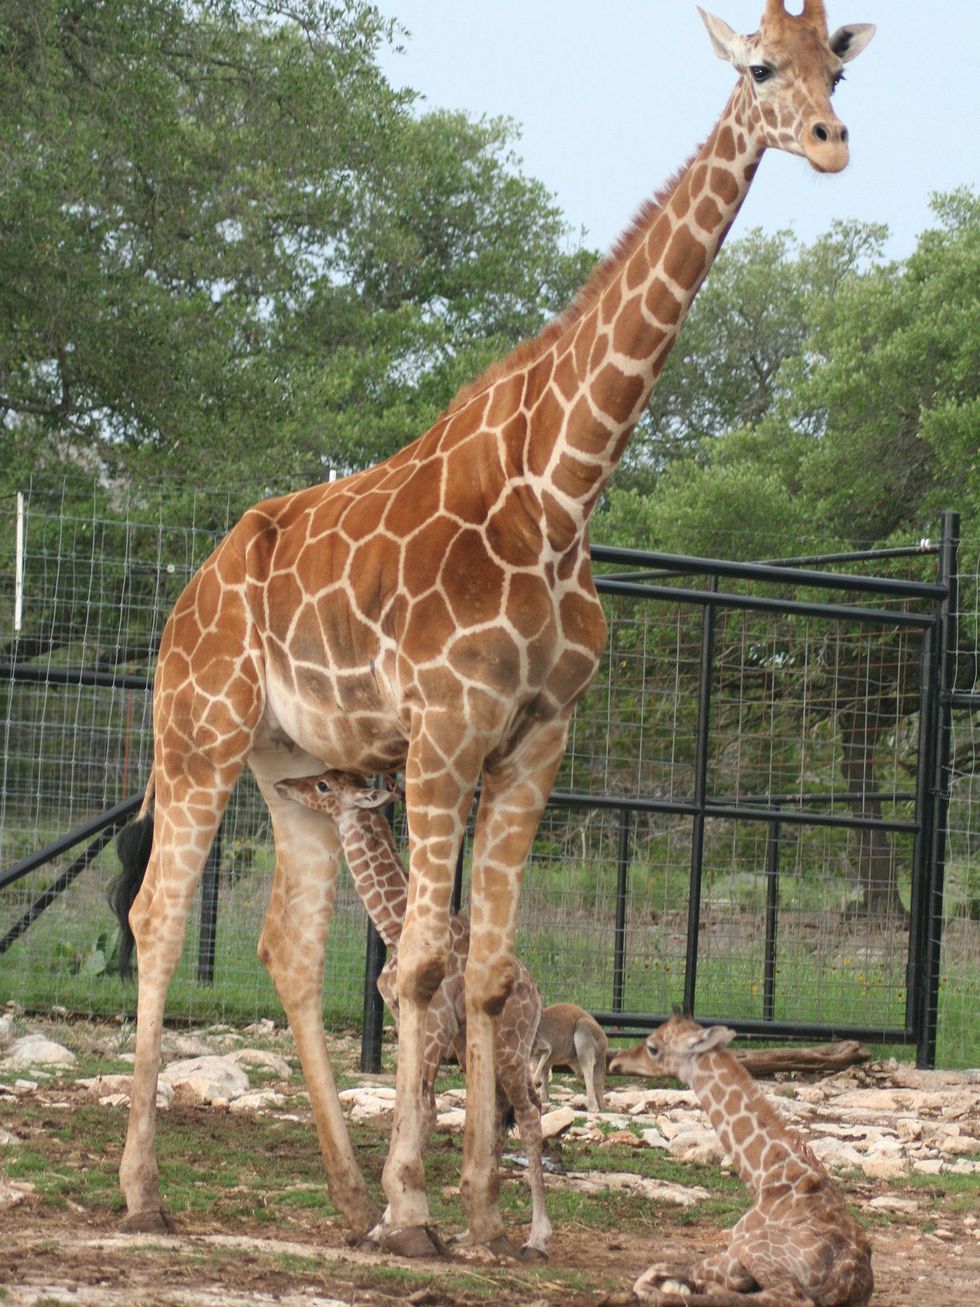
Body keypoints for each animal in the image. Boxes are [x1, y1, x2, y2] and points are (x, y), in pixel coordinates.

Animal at [272, 769, 552, 1259]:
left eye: (324, 786)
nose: (284, 784)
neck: (392, 924)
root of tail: (536, 996)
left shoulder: (435, 1026)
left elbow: (422, 1109)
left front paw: (395, 1223)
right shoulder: (409, 1022)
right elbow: (420, 1109)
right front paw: (399, 1222)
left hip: (511, 1048)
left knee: (531, 1114)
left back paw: (537, 1238)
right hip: (486, 1051)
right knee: (500, 1114)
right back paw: (473, 1231)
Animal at [608, 1015, 873, 1306]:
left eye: (653, 1048)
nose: (616, 1060)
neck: (766, 1174)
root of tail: (848, 1282)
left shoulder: (735, 1251)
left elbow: (653, 1272)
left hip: (755, 1252)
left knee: (790, 1297)